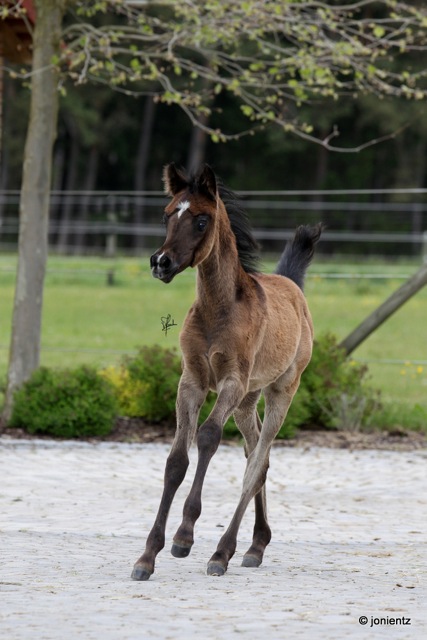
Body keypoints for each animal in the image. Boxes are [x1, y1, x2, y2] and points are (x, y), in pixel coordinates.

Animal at [131, 163, 321, 581]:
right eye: (167, 214)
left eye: (201, 220)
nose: (160, 262)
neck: (218, 310)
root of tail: (293, 287)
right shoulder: (192, 381)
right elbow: (176, 460)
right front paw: (147, 556)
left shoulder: (231, 382)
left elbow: (207, 437)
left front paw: (184, 537)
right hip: (248, 400)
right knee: (257, 457)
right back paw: (255, 545)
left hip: (280, 391)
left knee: (256, 462)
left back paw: (223, 552)